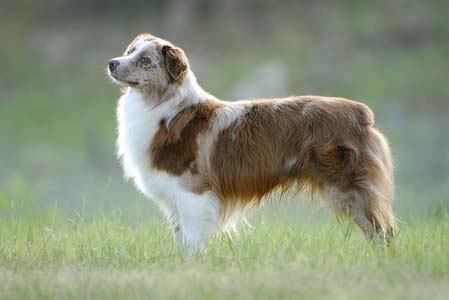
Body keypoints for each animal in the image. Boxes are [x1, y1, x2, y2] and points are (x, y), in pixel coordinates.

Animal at [107, 33, 394, 253]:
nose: (111, 62)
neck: (165, 108)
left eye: (145, 61)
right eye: (130, 51)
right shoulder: (176, 199)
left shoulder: (193, 192)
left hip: (348, 188)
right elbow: (180, 239)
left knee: (382, 229)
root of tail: (361, 113)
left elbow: (192, 241)